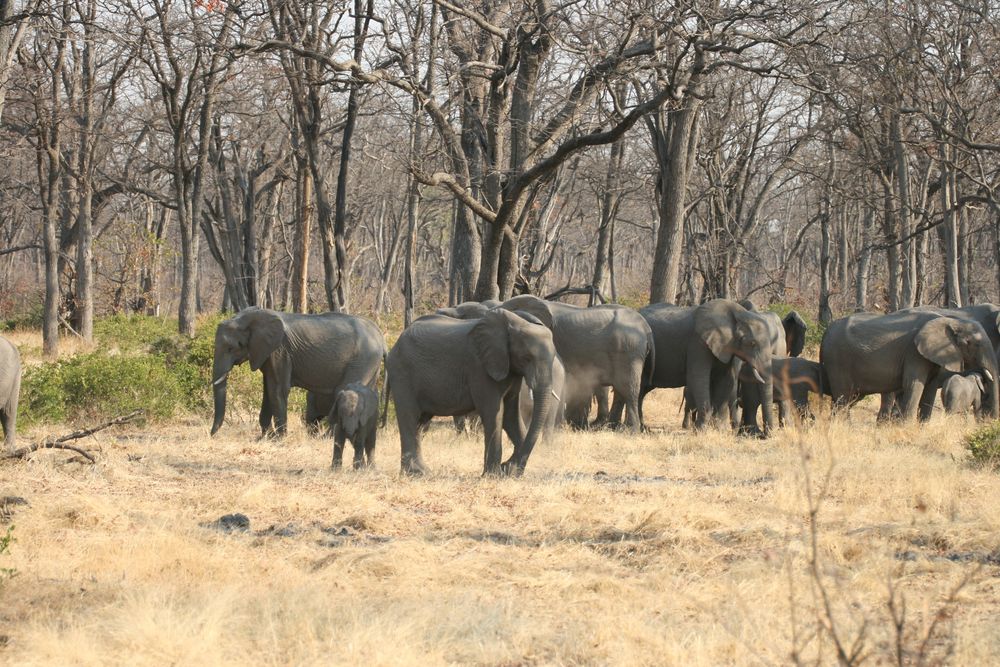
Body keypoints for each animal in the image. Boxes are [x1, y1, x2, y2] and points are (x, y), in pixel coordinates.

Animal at [209, 308, 384, 438]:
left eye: (232, 347)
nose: (212, 435)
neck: (247, 317)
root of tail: (380, 334)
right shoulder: (268, 353)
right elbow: (268, 390)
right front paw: (265, 437)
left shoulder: (280, 351)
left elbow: (277, 389)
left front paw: (278, 439)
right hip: (370, 364)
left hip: (363, 359)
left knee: (344, 392)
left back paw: (327, 438)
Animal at [384, 310, 560, 478]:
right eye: (526, 358)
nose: (509, 467)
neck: (512, 324)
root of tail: (394, 346)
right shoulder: (480, 368)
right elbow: (493, 413)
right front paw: (494, 475)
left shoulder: (509, 368)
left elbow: (511, 415)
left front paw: (509, 471)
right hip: (402, 374)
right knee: (409, 417)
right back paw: (414, 473)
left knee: (420, 422)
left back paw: (423, 472)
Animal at [496, 296, 652, 434]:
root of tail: (645, 327)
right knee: (620, 391)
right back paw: (611, 428)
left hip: (629, 351)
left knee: (629, 390)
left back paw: (630, 432)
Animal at [636, 302, 776, 434]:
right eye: (752, 343)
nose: (766, 435)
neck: (739, 313)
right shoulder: (698, 343)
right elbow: (698, 378)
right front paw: (700, 430)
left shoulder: (726, 347)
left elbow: (725, 380)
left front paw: (719, 431)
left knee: (641, 391)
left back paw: (644, 429)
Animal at [816, 312, 996, 418]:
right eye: (973, 344)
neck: (951, 320)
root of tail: (825, 332)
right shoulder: (914, 353)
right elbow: (914, 384)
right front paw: (907, 427)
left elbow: (930, 387)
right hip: (838, 360)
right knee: (843, 397)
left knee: (848, 398)